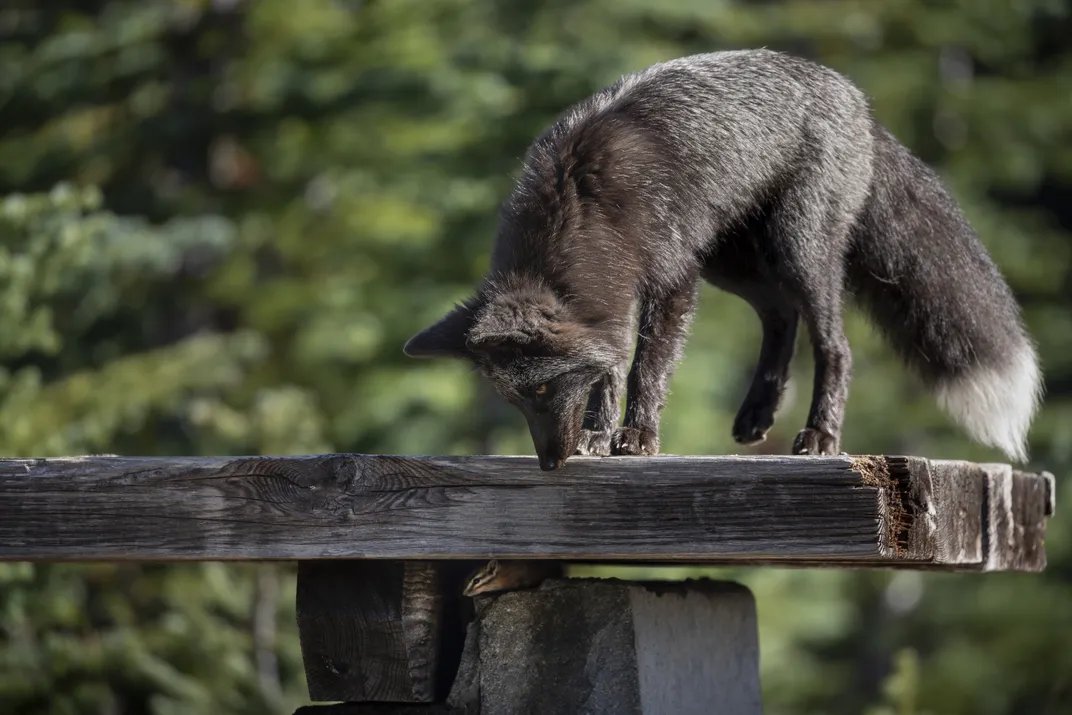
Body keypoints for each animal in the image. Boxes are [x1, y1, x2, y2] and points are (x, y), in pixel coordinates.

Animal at [404, 50, 1042, 471]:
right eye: (514, 400)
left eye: (538, 393)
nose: (549, 465)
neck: (581, 202)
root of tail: (857, 102)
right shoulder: (622, 297)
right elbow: (608, 367)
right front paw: (598, 436)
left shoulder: (672, 280)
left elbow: (643, 368)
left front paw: (635, 437)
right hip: (732, 262)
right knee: (781, 315)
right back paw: (759, 411)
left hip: (797, 249)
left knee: (834, 344)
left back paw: (820, 436)